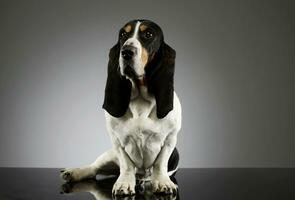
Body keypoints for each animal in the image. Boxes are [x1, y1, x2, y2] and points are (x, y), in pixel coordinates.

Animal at [60, 19, 183, 197]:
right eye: (123, 34)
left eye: (148, 34)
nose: (126, 52)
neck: (140, 98)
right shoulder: (117, 141)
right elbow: (127, 165)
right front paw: (124, 183)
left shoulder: (170, 139)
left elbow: (160, 164)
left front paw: (161, 182)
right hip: (108, 156)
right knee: (93, 169)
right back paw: (74, 172)